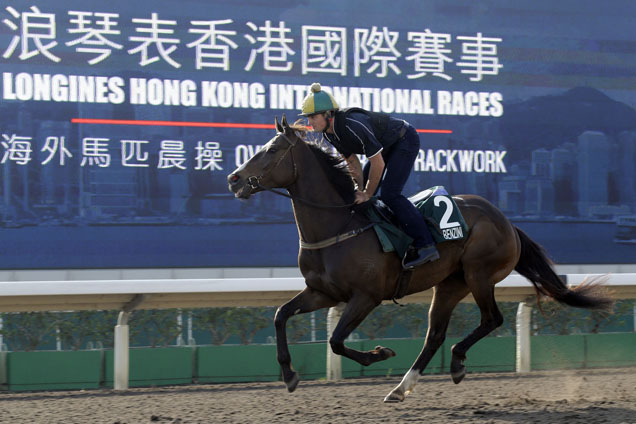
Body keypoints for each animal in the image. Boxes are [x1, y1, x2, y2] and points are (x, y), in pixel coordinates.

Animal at [226, 116, 612, 404]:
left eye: (272, 150)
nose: (234, 178)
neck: (340, 226)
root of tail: (506, 221)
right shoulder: (323, 293)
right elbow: (280, 315)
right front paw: (290, 375)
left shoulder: (365, 297)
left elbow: (335, 340)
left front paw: (379, 354)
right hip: (450, 284)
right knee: (435, 335)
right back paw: (402, 387)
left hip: (479, 274)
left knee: (492, 319)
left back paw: (455, 363)